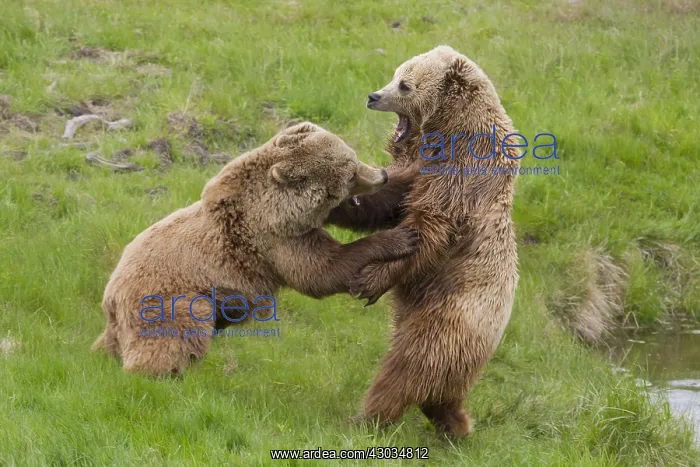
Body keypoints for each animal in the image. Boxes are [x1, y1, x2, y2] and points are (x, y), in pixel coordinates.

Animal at [92, 122, 420, 377]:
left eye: (353, 157)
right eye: (350, 173)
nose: (381, 175)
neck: (282, 208)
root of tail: (110, 296)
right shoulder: (274, 240)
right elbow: (320, 271)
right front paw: (401, 237)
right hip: (167, 300)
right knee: (174, 336)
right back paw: (164, 374)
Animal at [327, 46, 521, 437]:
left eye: (405, 84)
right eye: (395, 73)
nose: (373, 96)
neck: (446, 135)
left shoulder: (462, 180)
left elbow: (430, 229)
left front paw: (369, 280)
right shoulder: (418, 170)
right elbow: (390, 200)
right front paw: (342, 200)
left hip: (449, 317)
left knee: (409, 366)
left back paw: (365, 418)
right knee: (439, 390)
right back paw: (456, 424)